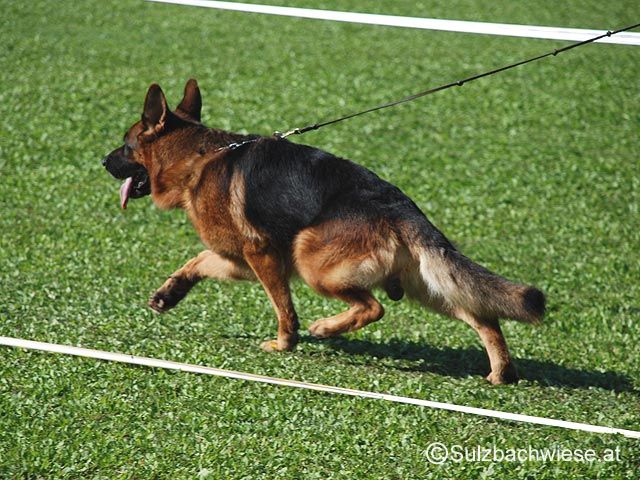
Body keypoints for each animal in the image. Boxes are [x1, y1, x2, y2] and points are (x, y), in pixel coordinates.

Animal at [103, 79, 545, 385]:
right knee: (483, 317)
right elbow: (198, 260)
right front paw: (169, 293)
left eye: (125, 145)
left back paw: (327, 327)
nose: (103, 161)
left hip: (312, 260)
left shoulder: (262, 255)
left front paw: (285, 343)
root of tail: (400, 208)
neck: (199, 157)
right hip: (428, 286)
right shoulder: (240, 260)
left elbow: (283, 308)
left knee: (373, 307)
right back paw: (501, 372)